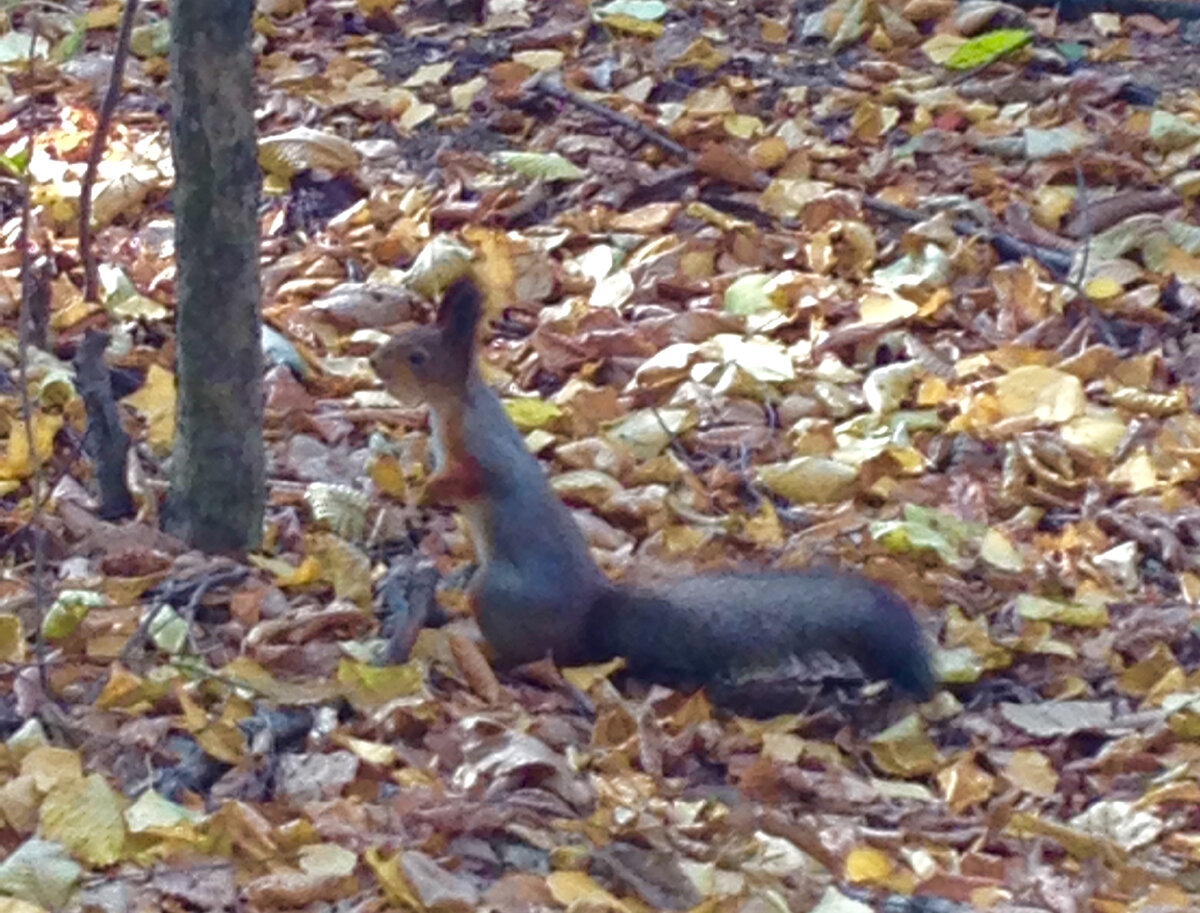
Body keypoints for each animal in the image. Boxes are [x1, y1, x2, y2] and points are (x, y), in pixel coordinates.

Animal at [364, 274, 936, 700]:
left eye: (416, 356)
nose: (373, 363)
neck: (453, 409)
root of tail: (591, 618)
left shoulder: (484, 456)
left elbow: (470, 481)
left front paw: (423, 494)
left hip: (501, 592)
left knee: (532, 655)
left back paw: (477, 646)